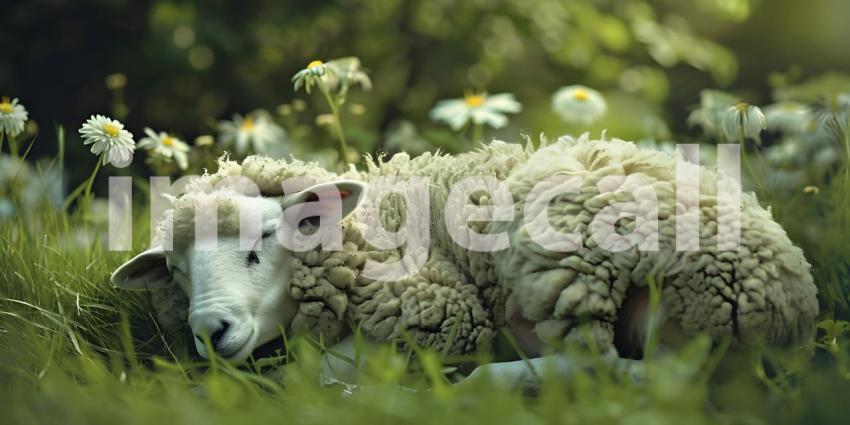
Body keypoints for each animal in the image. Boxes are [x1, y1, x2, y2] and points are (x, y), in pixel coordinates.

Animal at [111, 134, 819, 385]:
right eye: (175, 272)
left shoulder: (438, 310)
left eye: (262, 242)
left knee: (626, 373)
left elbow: (328, 369)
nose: (211, 330)